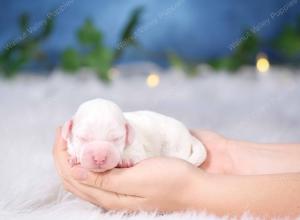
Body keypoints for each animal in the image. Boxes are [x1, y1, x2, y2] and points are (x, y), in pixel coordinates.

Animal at [61, 98, 206, 172]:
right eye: (83, 138)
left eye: (116, 138)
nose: (99, 158)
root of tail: (189, 135)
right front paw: (74, 158)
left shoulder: (138, 148)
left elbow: (136, 156)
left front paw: (125, 161)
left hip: (175, 146)